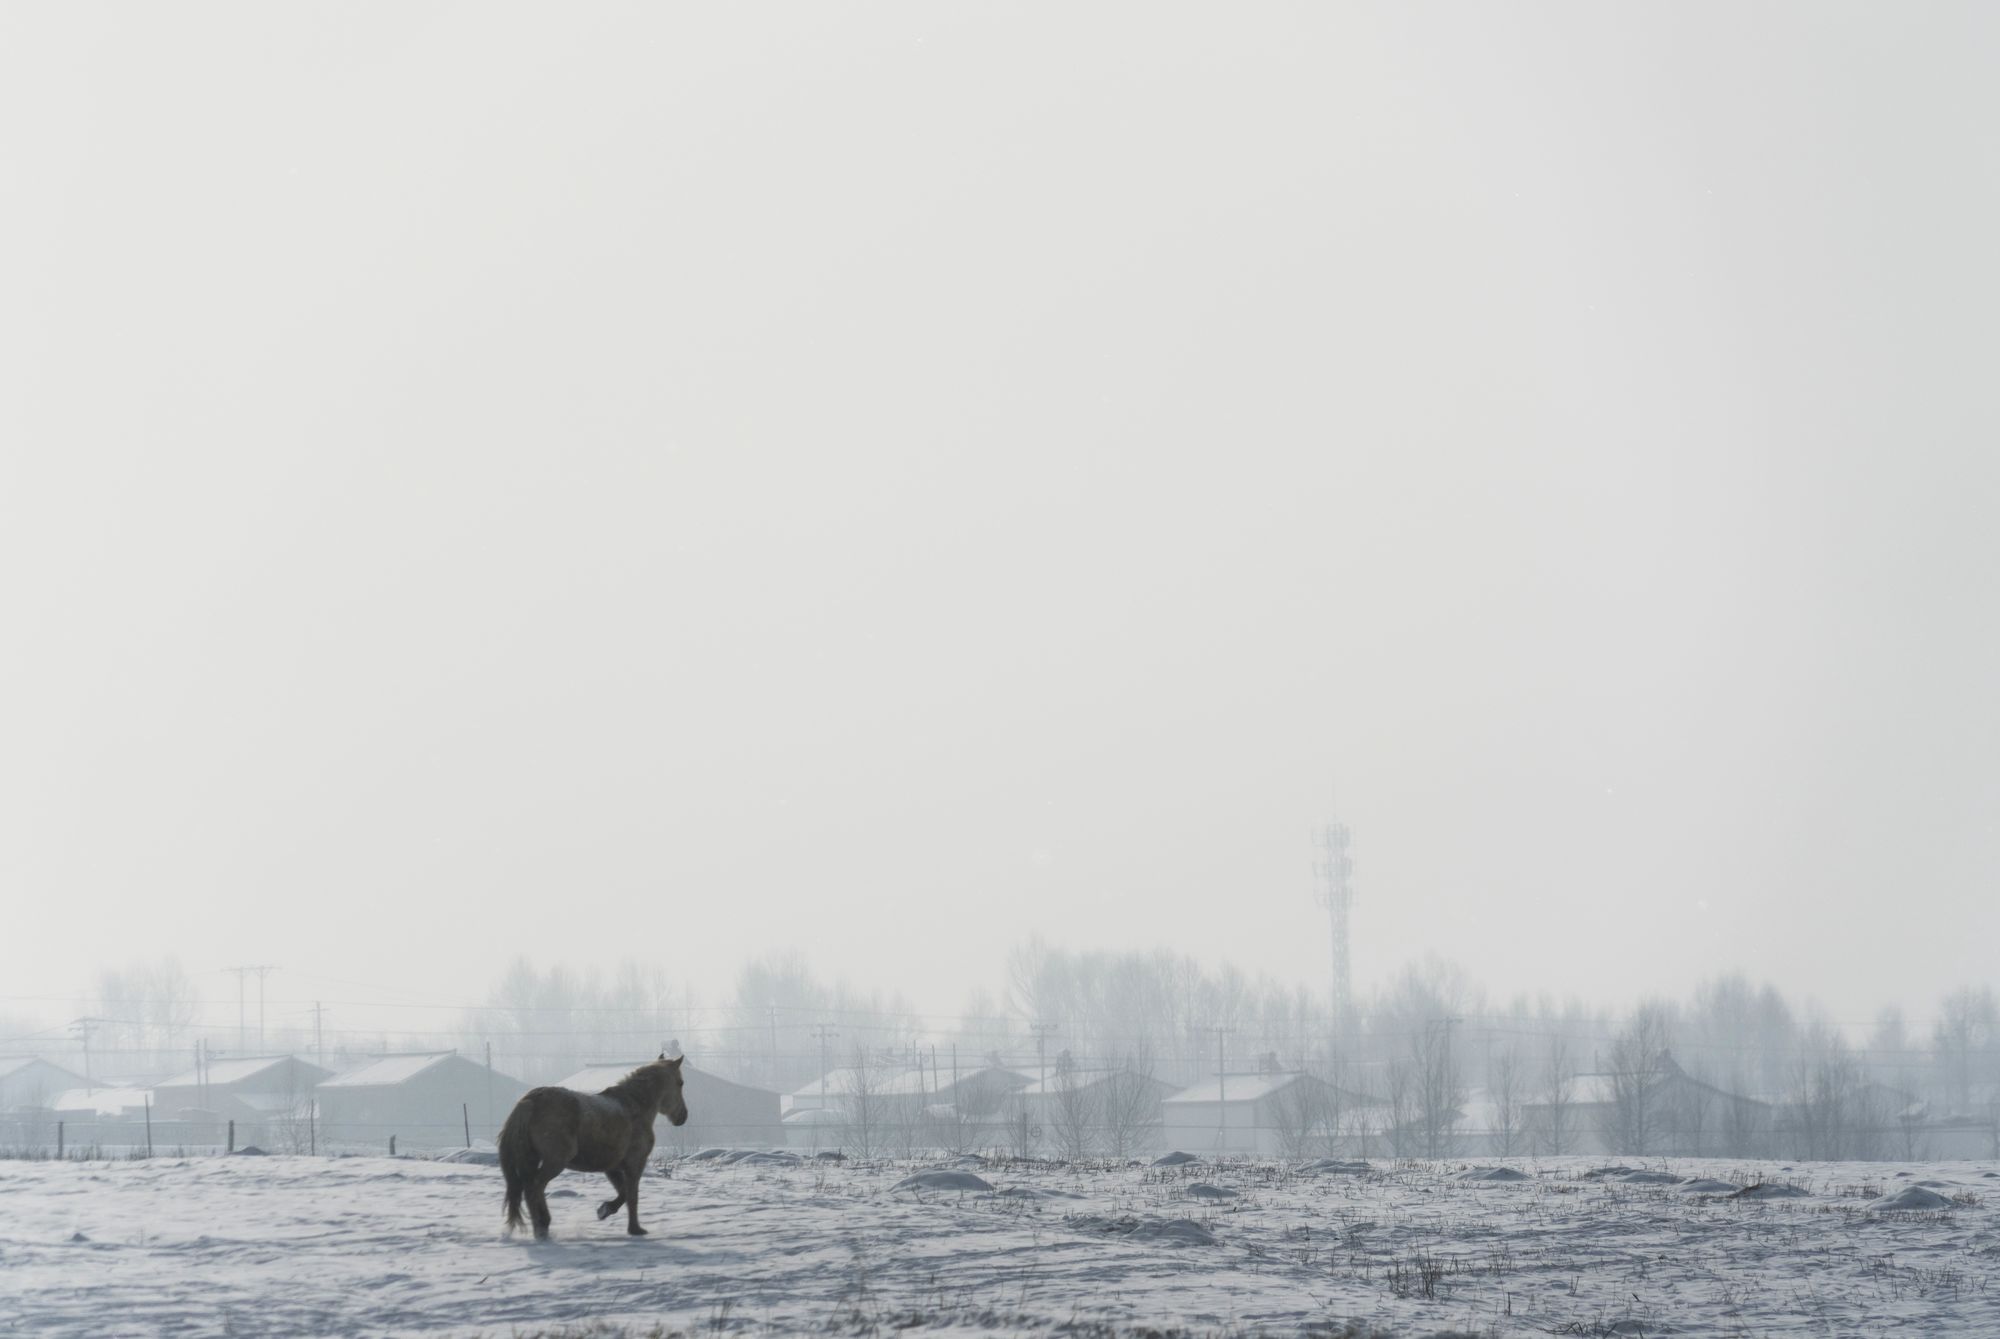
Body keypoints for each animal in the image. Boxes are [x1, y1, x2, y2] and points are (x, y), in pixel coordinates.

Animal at [498, 1055, 688, 1247]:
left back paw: (541, 1229)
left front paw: (605, 1210)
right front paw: (635, 1229)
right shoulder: (635, 1164)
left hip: (533, 1160)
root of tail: (530, 1101)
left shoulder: (612, 1169)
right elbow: (632, 1196)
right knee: (534, 1187)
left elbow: (623, 1194)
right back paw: (542, 1226)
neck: (634, 1106)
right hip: (555, 1162)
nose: (683, 1117)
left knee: (529, 1187)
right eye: (680, 1083)